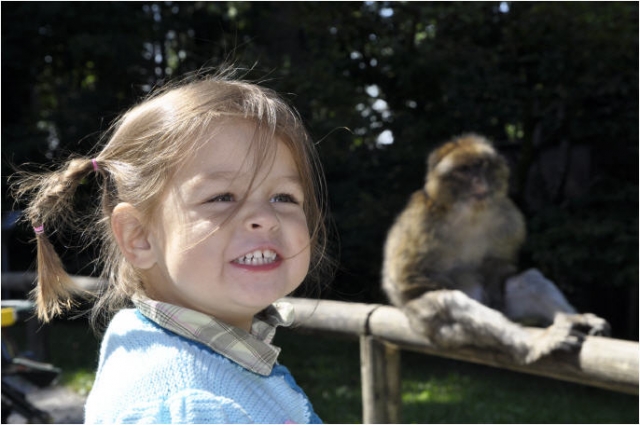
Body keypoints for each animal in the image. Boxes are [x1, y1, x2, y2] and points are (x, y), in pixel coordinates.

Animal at [380, 134, 608, 362]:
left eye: (480, 165)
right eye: (464, 170)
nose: (478, 180)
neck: (470, 213)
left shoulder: (508, 215)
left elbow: (499, 264)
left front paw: (495, 293)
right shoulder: (422, 222)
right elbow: (409, 279)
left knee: (530, 280)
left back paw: (574, 319)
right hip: (432, 326)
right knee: (450, 302)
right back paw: (534, 344)